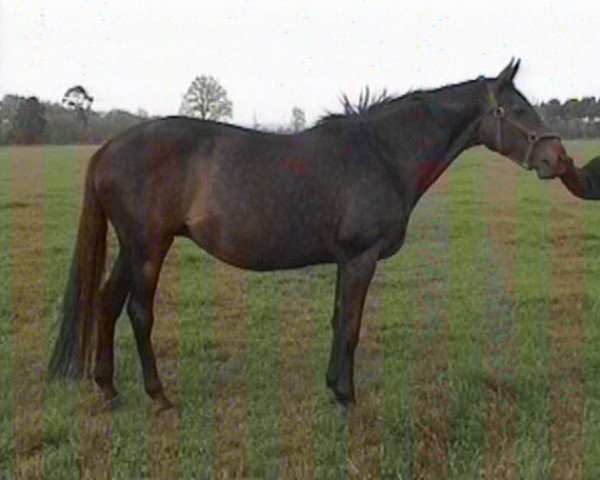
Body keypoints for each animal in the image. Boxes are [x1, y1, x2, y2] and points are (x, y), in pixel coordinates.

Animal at [49, 58, 568, 410]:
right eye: (518, 110)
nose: (557, 159)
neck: (381, 153)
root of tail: (110, 147)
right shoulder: (360, 258)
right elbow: (352, 326)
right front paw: (348, 397)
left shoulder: (345, 260)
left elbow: (339, 320)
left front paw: (334, 388)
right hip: (148, 247)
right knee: (138, 312)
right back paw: (158, 397)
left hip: (133, 247)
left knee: (106, 301)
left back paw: (109, 389)